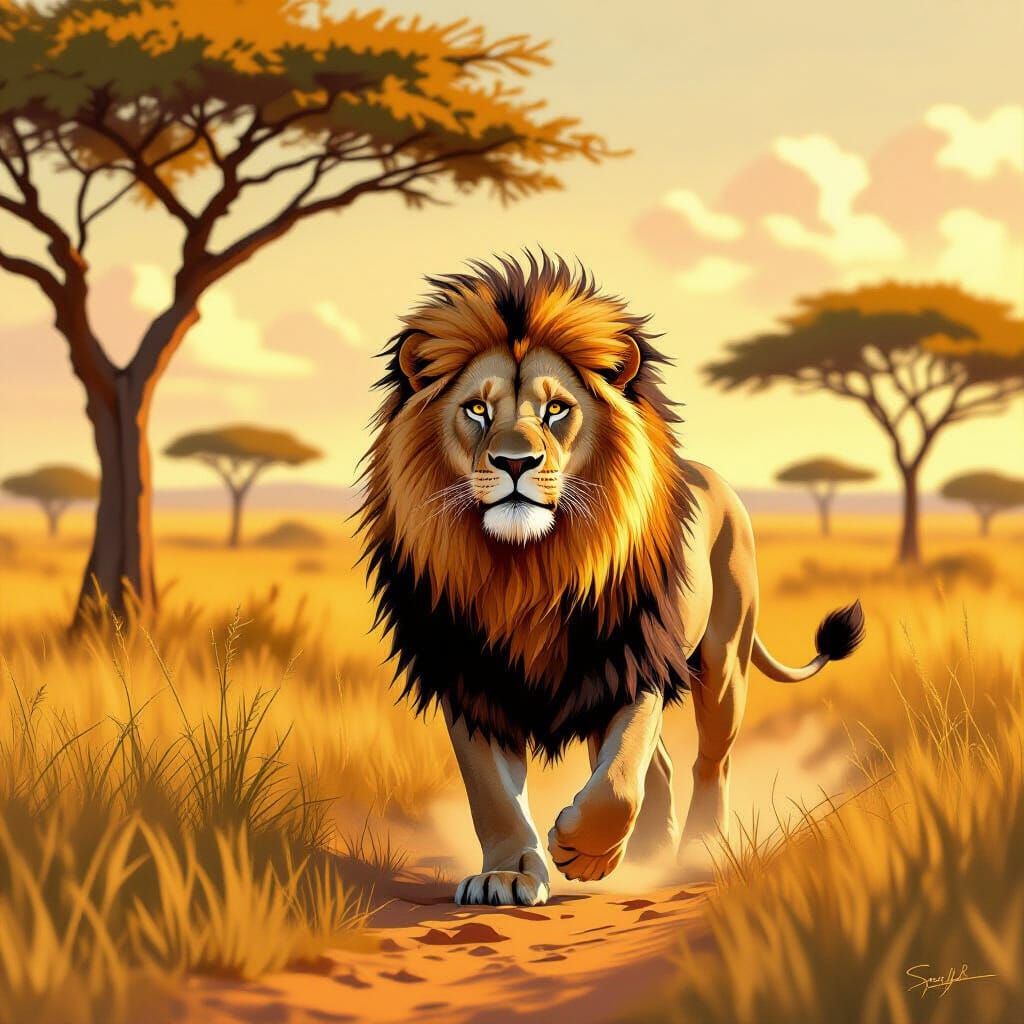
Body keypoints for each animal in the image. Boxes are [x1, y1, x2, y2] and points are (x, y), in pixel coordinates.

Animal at [358, 253, 864, 906]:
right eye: (476, 408)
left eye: (556, 409)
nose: (515, 462)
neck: (527, 569)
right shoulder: (471, 677)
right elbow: (493, 794)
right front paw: (509, 874)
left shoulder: (631, 660)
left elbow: (620, 778)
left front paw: (585, 850)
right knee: (666, 766)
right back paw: (650, 851)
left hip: (724, 660)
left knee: (710, 761)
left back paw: (697, 851)